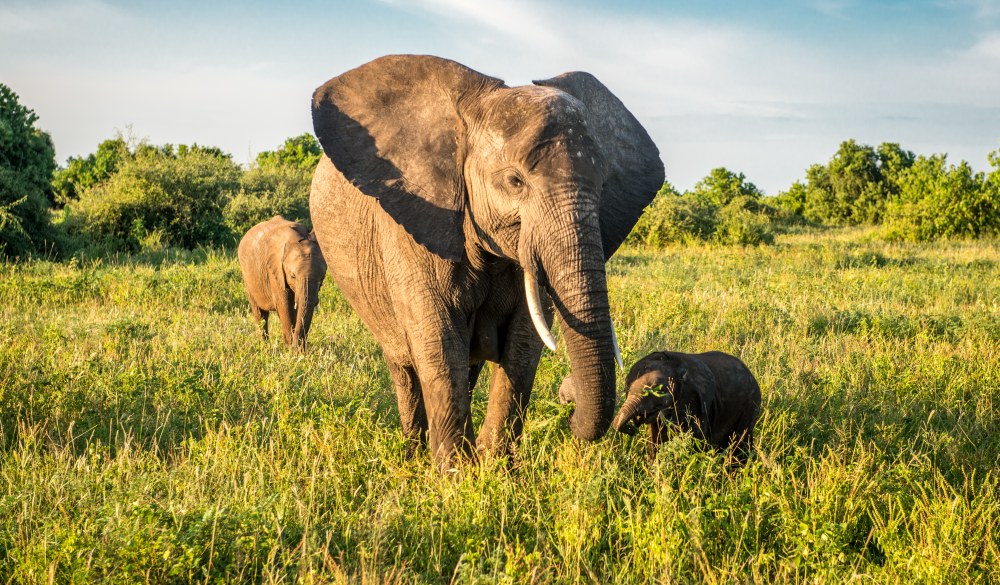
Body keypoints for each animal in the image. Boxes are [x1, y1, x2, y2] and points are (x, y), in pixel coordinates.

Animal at [236, 216, 326, 350]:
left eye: (322, 278)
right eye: (293, 276)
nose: (299, 349)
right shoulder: (275, 271)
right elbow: (285, 307)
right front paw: (290, 351)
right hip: (247, 277)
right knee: (260, 314)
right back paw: (264, 347)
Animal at [310, 56, 664, 470]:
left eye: (605, 185)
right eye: (515, 181)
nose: (569, 404)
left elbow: (524, 342)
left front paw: (496, 466)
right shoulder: (413, 224)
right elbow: (440, 342)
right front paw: (455, 473)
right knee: (405, 367)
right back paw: (413, 453)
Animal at [604, 352, 760, 460]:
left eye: (659, 391)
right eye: (626, 389)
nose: (631, 430)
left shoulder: (698, 403)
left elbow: (696, 439)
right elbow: (656, 439)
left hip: (751, 405)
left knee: (740, 441)